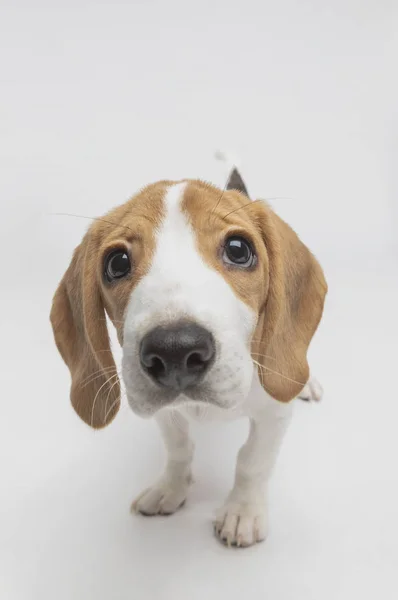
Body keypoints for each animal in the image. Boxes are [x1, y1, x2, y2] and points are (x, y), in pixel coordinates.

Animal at [50, 163, 326, 548]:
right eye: (116, 262)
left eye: (238, 249)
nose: (174, 349)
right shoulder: (167, 415)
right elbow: (179, 448)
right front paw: (171, 487)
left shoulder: (274, 414)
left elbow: (252, 461)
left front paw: (242, 511)